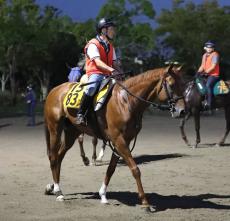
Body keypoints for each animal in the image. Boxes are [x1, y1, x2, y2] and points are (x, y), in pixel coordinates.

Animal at [44, 64, 185, 210]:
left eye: (184, 84)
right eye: (171, 85)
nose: (182, 111)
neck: (126, 101)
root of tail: (54, 90)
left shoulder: (123, 141)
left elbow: (111, 169)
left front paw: (103, 195)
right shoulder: (118, 140)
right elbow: (135, 169)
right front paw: (145, 202)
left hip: (71, 132)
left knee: (60, 156)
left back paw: (53, 187)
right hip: (55, 129)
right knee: (53, 157)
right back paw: (58, 191)